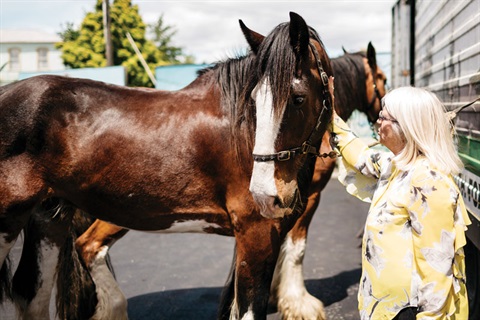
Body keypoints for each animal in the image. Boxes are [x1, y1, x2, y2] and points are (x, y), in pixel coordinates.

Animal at [0, 12, 334, 320]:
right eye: (253, 100)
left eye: (298, 98)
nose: (265, 195)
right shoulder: (257, 234)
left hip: (48, 218)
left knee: (33, 296)